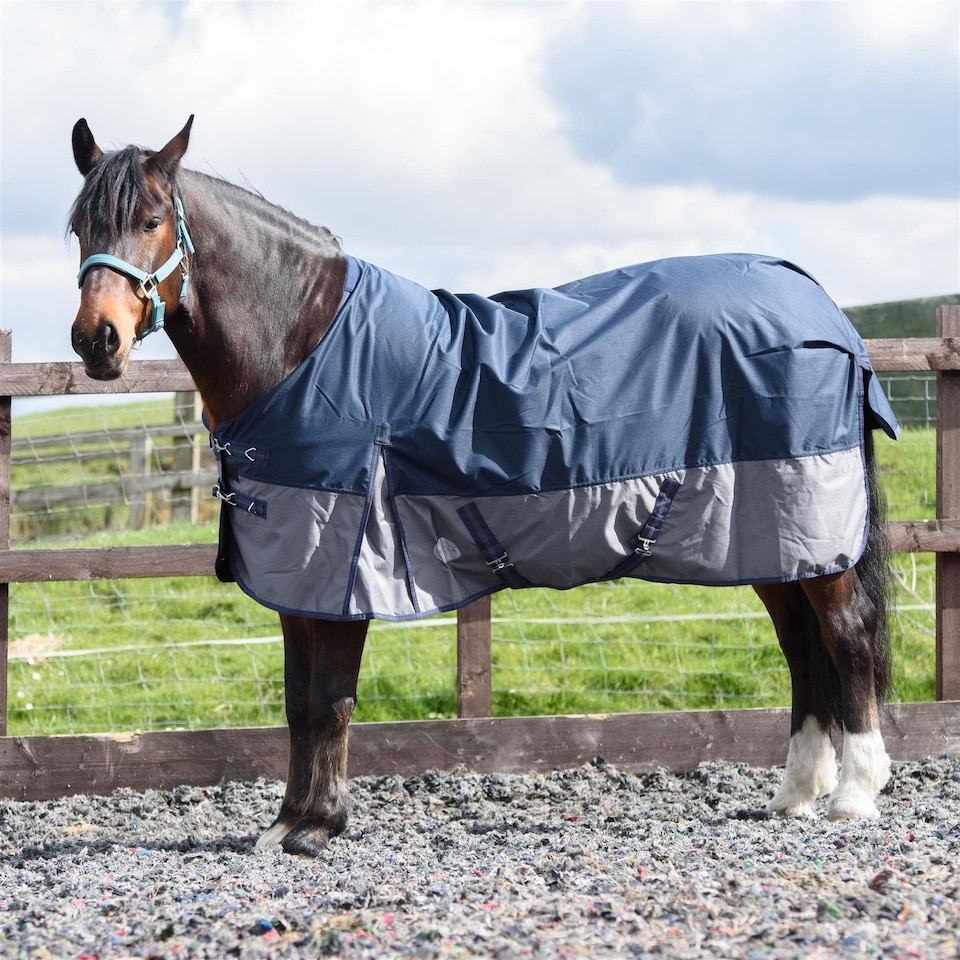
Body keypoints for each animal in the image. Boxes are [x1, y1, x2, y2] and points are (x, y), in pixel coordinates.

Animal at [68, 117, 899, 856]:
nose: (96, 340)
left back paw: (855, 796)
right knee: (802, 649)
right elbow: (298, 701)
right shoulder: (295, 572)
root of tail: (818, 304)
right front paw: (287, 821)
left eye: (150, 220)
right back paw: (795, 794)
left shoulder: (341, 566)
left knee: (846, 635)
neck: (302, 344)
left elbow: (328, 698)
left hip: (810, 525)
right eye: (79, 226)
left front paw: (317, 826)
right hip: (773, 537)